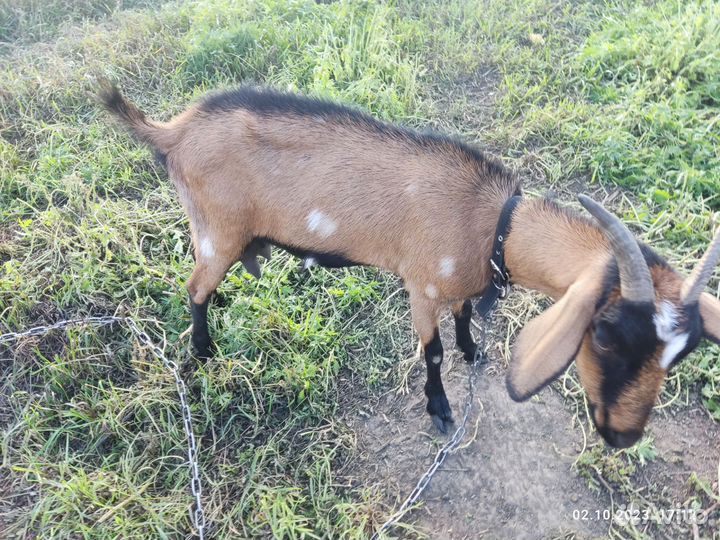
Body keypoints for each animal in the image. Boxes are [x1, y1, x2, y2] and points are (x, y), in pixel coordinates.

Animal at [100, 82, 720, 448]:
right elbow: (434, 350)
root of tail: (173, 129)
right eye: (607, 333)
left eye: (683, 352)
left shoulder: (464, 280)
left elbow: (465, 315)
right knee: (194, 286)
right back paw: (203, 351)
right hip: (217, 231)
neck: (493, 223)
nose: (623, 436)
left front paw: (474, 351)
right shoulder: (421, 284)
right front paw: (440, 411)